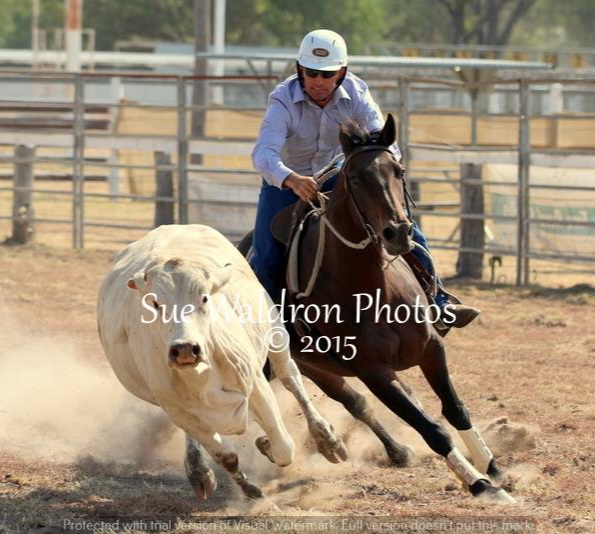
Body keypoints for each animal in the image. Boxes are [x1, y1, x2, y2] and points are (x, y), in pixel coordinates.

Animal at [239, 114, 513, 503]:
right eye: (355, 178)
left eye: (398, 170)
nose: (397, 232)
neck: (373, 289)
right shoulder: (374, 371)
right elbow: (432, 428)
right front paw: (480, 484)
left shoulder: (432, 349)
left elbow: (455, 409)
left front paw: (493, 468)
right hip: (302, 364)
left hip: (318, 367)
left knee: (358, 403)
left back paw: (391, 450)